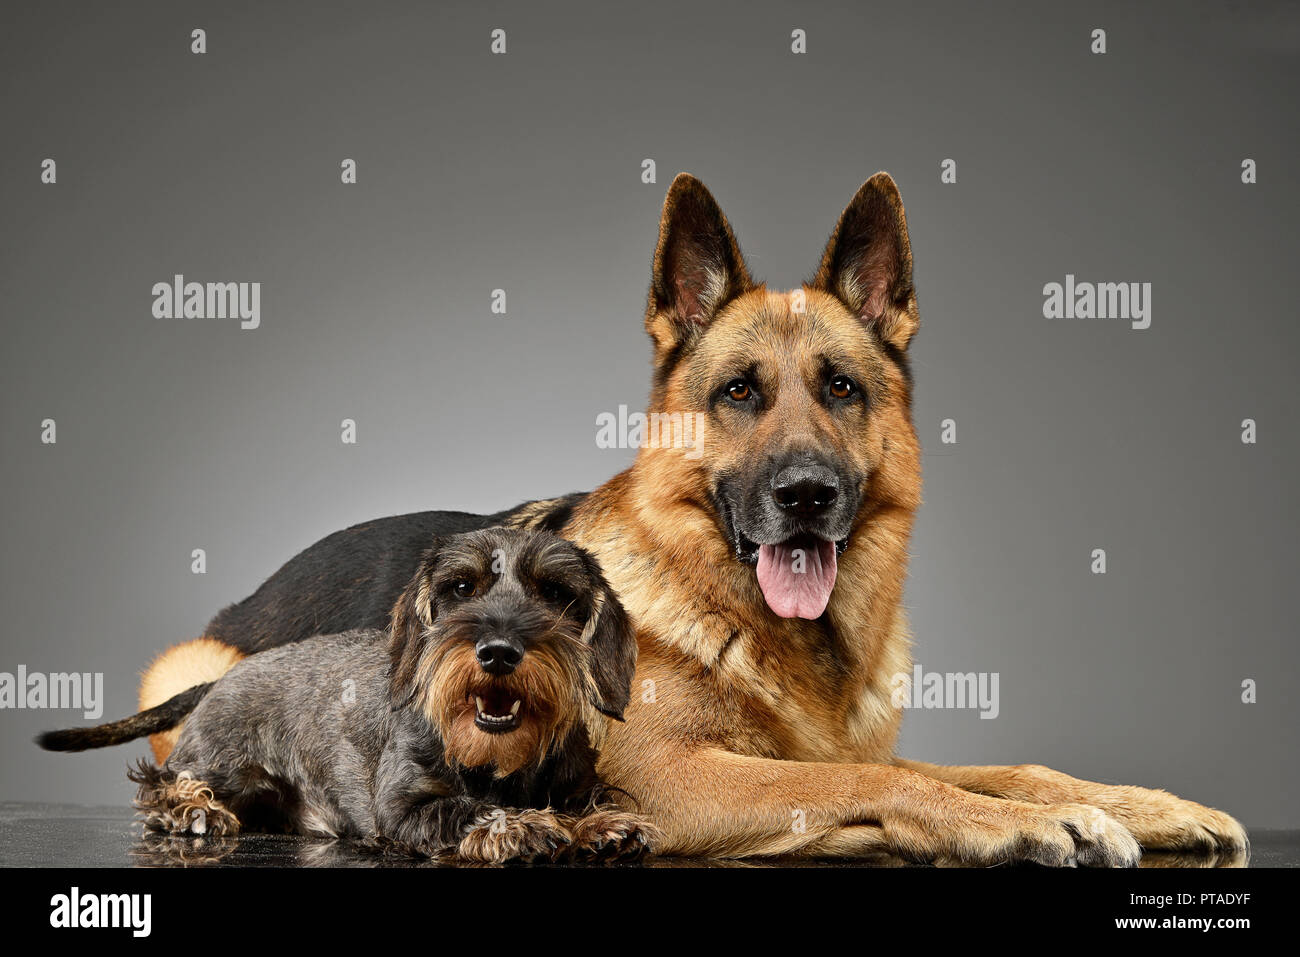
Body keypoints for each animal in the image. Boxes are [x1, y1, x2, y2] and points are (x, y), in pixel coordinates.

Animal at [50, 174, 1248, 868]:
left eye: (843, 389)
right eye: (739, 393)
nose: (805, 494)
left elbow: (1001, 764)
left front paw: (1126, 802)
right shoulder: (671, 780)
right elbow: (873, 781)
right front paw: (1005, 826)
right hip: (186, 667)